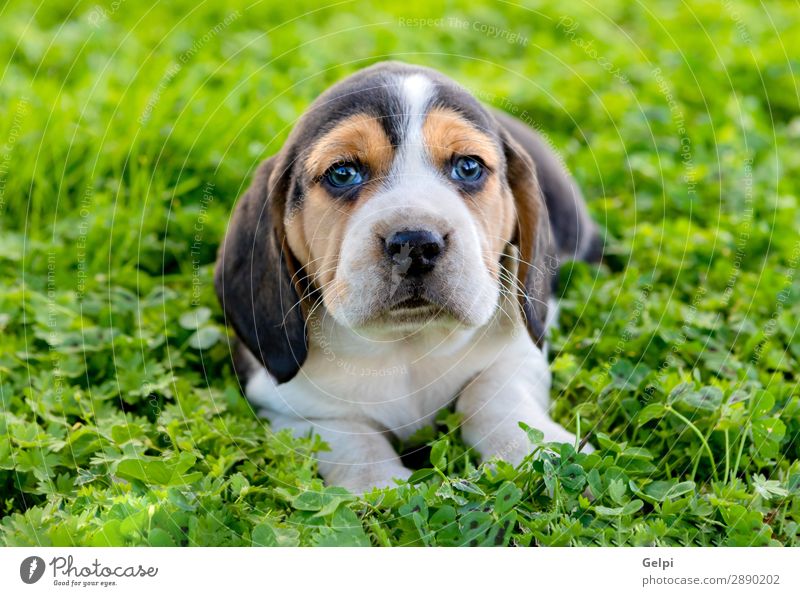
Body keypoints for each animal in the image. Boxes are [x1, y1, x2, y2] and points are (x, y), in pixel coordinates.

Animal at [214, 61, 600, 494]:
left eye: (468, 167)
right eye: (342, 173)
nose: (415, 243)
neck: (408, 342)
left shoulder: (519, 353)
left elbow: (492, 394)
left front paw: (546, 451)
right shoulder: (284, 404)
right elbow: (350, 435)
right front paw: (379, 484)